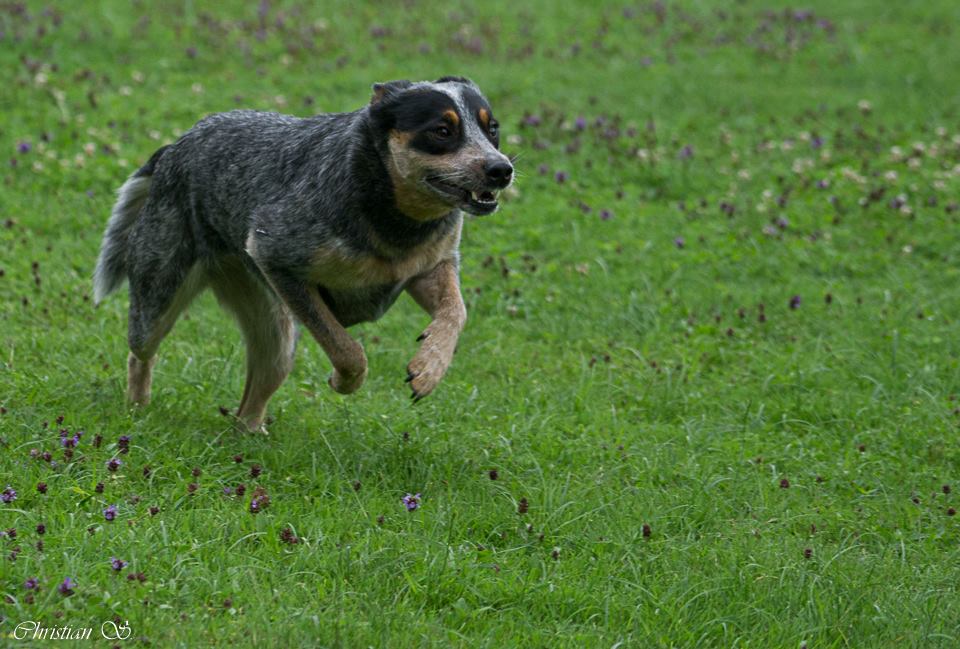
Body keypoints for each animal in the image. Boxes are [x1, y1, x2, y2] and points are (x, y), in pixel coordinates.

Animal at [93, 76, 513, 430]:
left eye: (492, 129)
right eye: (442, 131)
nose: (501, 169)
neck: (394, 215)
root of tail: (173, 149)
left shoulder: (429, 267)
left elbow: (456, 311)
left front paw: (429, 367)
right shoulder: (276, 257)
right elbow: (345, 348)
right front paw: (343, 381)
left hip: (273, 332)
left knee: (253, 394)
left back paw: (248, 435)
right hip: (159, 294)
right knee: (140, 351)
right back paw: (137, 408)